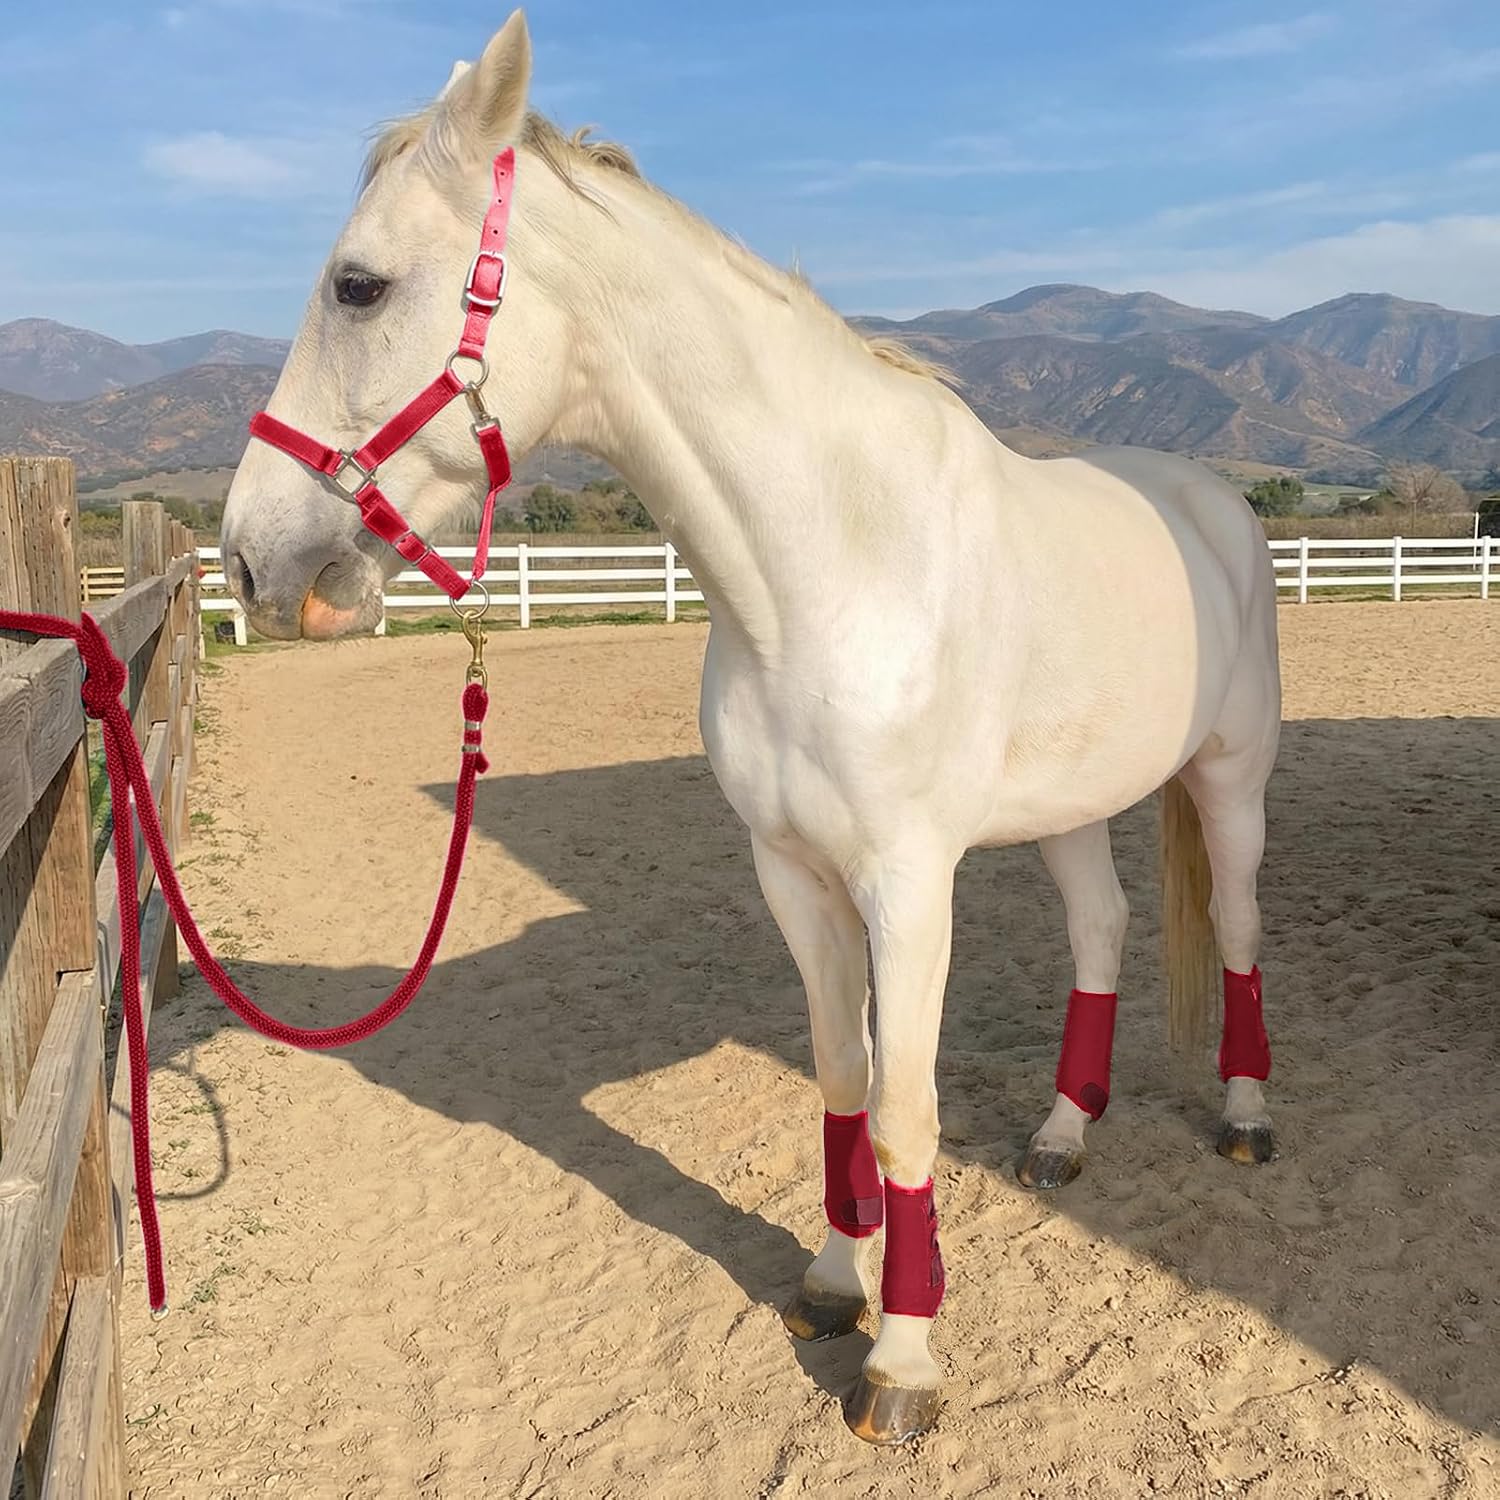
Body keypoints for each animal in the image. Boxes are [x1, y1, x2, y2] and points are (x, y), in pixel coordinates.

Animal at [220, 10, 1282, 1446]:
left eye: (359, 286)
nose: (255, 562)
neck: (828, 570)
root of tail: (1210, 500)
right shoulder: (793, 872)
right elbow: (839, 1076)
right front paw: (833, 1290)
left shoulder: (908, 883)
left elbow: (902, 1110)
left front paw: (903, 1366)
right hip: (1070, 802)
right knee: (1103, 931)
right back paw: (1063, 1137)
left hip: (1231, 781)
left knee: (1238, 928)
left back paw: (1245, 1117)